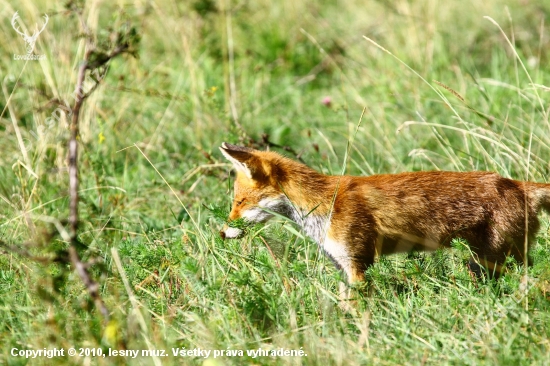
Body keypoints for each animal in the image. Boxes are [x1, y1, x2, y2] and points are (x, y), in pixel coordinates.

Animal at [220, 143, 550, 284]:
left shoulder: (357, 262)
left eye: (240, 201)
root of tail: (515, 183)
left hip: (493, 259)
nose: (223, 232)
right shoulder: (343, 264)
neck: (322, 202)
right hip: (485, 262)